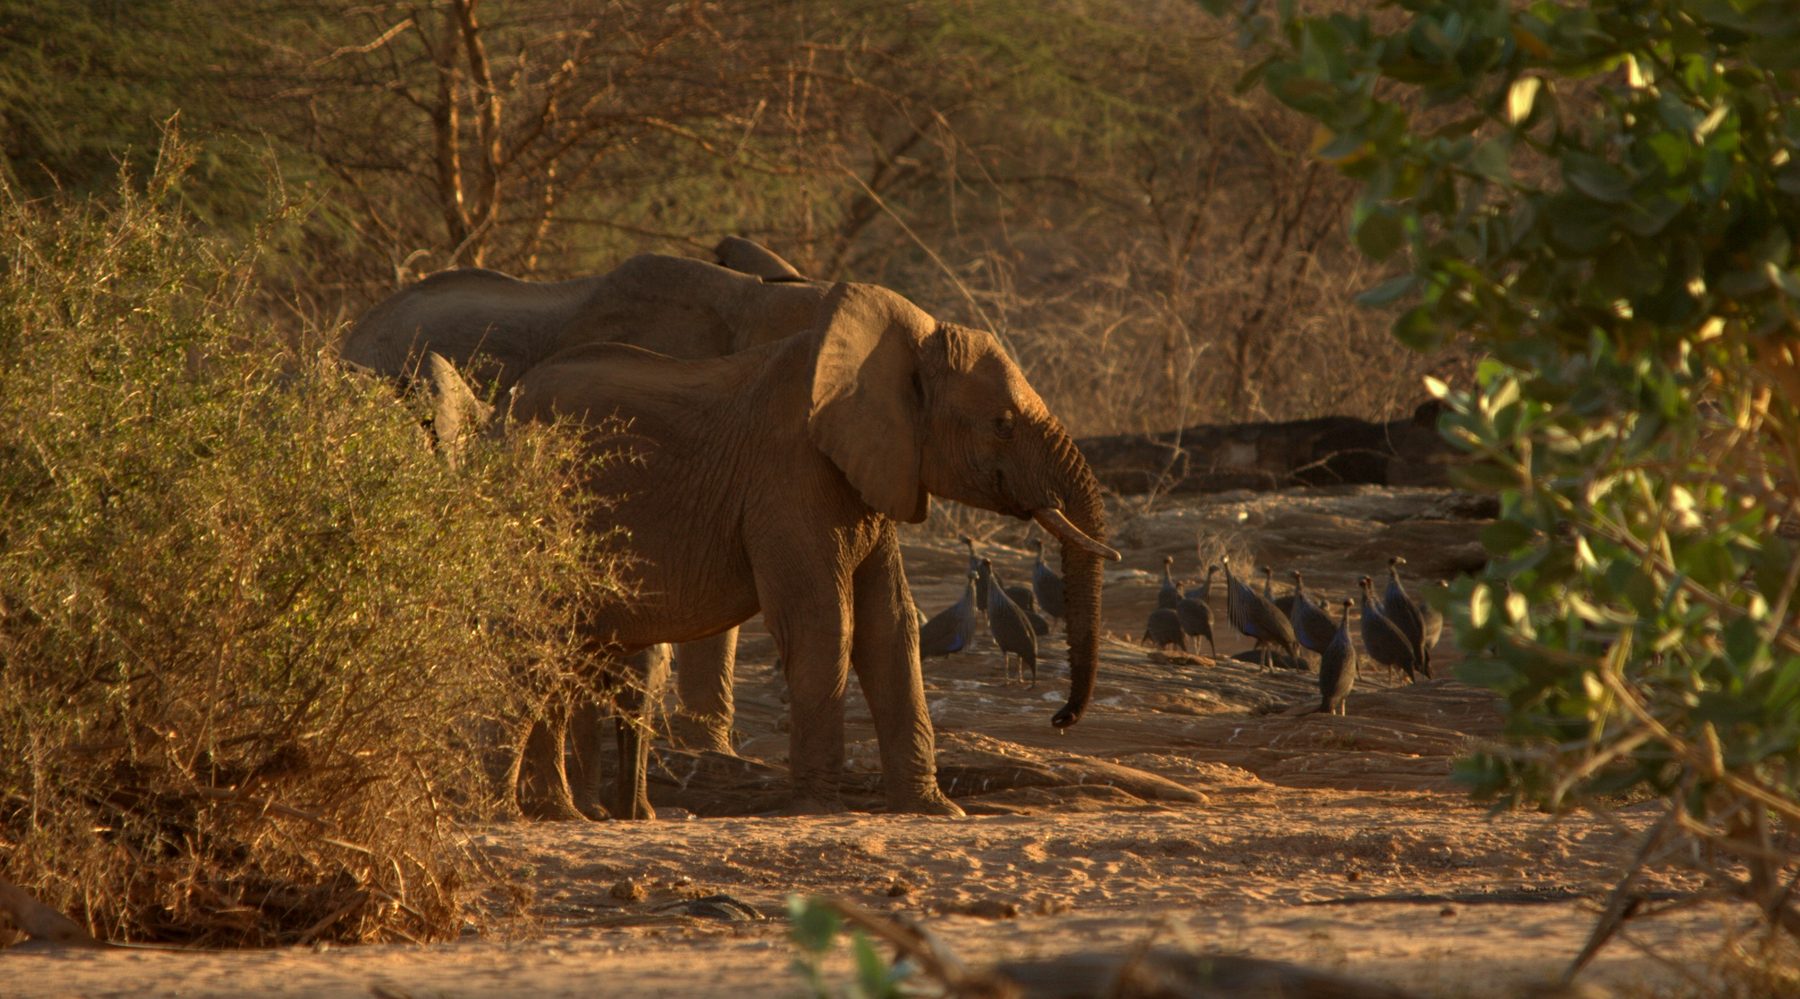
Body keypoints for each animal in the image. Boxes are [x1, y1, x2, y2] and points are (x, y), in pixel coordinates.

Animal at [477, 279, 1119, 818]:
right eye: (1003, 424)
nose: (1061, 718)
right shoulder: (789, 476)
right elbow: (825, 623)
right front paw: (818, 808)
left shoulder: (871, 470)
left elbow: (890, 627)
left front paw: (934, 811)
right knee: (537, 646)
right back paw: (527, 814)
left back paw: (562, 814)